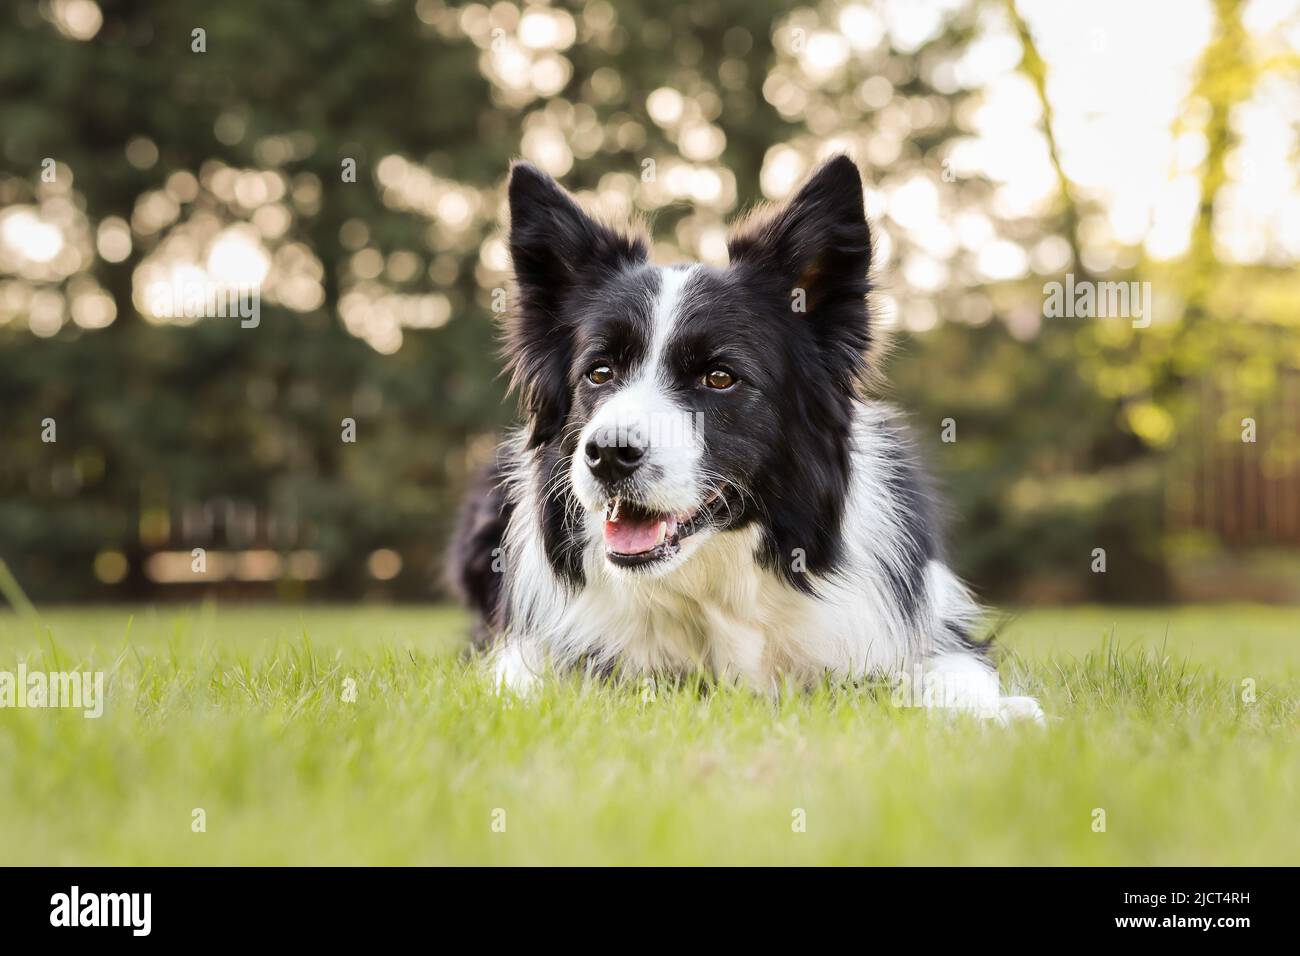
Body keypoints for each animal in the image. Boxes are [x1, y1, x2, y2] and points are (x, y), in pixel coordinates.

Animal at [452, 155, 1040, 723]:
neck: (716, 578)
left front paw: (994, 712)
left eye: (719, 377)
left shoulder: (923, 629)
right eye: (599, 373)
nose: (608, 455)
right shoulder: (532, 651)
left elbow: (954, 673)